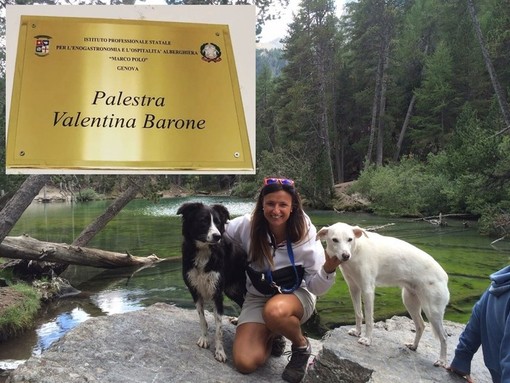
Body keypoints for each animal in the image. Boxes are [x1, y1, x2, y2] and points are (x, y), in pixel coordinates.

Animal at [176, 204, 246, 364]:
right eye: (203, 221)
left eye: (218, 222)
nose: (217, 236)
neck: (203, 251)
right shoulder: (194, 290)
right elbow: (202, 319)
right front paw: (204, 339)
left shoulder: (217, 293)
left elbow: (219, 328)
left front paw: (220, 352)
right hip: (232, 290)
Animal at [318, 224, 450, 368]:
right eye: (334, 240)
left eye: (350, 239)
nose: (346, 256)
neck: (357, 251)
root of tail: (444, 276)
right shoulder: (354, 288)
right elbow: (358, 314)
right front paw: (357, 332)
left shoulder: (367, 290)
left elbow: (369, 319)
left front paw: (367, 339)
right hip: (410, 302)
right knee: (421, 326)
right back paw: (414, 346)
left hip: (432, 311)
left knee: (444, 337)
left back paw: (442, 361)